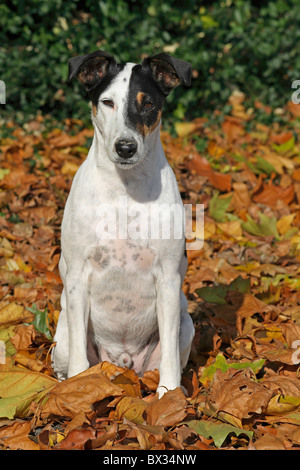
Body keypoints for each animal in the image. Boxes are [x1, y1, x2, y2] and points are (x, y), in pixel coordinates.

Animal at [52, 50, 195, 396]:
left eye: (148, 103)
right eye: (107, 102)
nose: (126, 147)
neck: (124, 191)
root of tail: (122, 361)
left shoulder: (168, 279)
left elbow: (170, 359)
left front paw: (169, 397)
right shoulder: (77, 276)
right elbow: (79, 359)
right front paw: (78, 389)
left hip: (186, 325)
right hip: (63, 335)